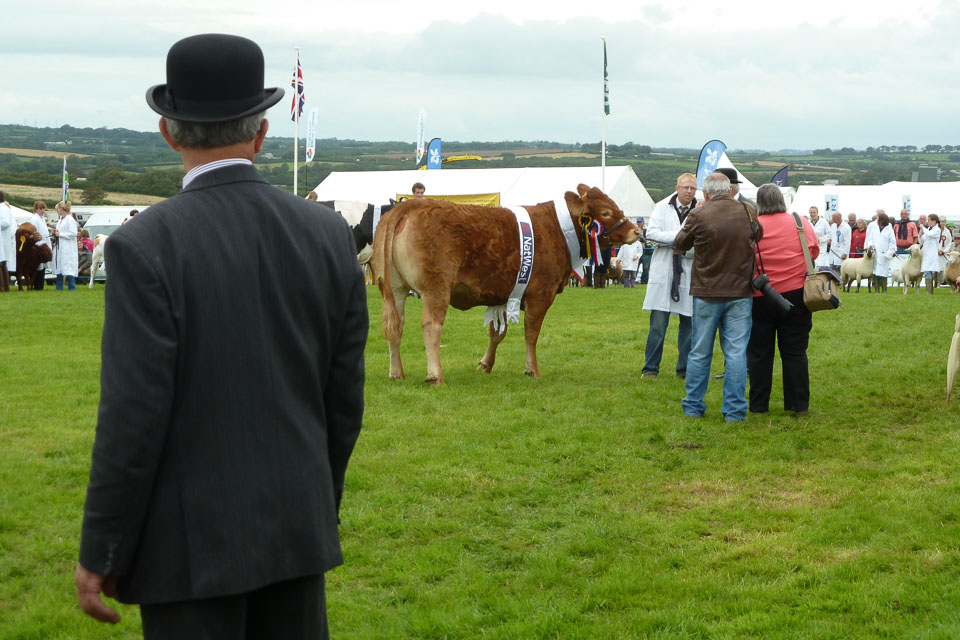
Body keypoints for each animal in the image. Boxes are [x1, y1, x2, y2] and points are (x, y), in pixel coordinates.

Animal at [372, 185, 640, 384]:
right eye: (605, 212)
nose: (636, 232)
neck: (558, 230)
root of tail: (410, 204)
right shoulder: (540, 294)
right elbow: (531, 332)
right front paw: (532, 369)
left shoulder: (504, 295)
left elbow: (496, 332)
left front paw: (485, 365)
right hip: (436, 288)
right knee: (430, 325)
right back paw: (435, 376)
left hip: (395, 288)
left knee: (396, 325)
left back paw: (396, 373)